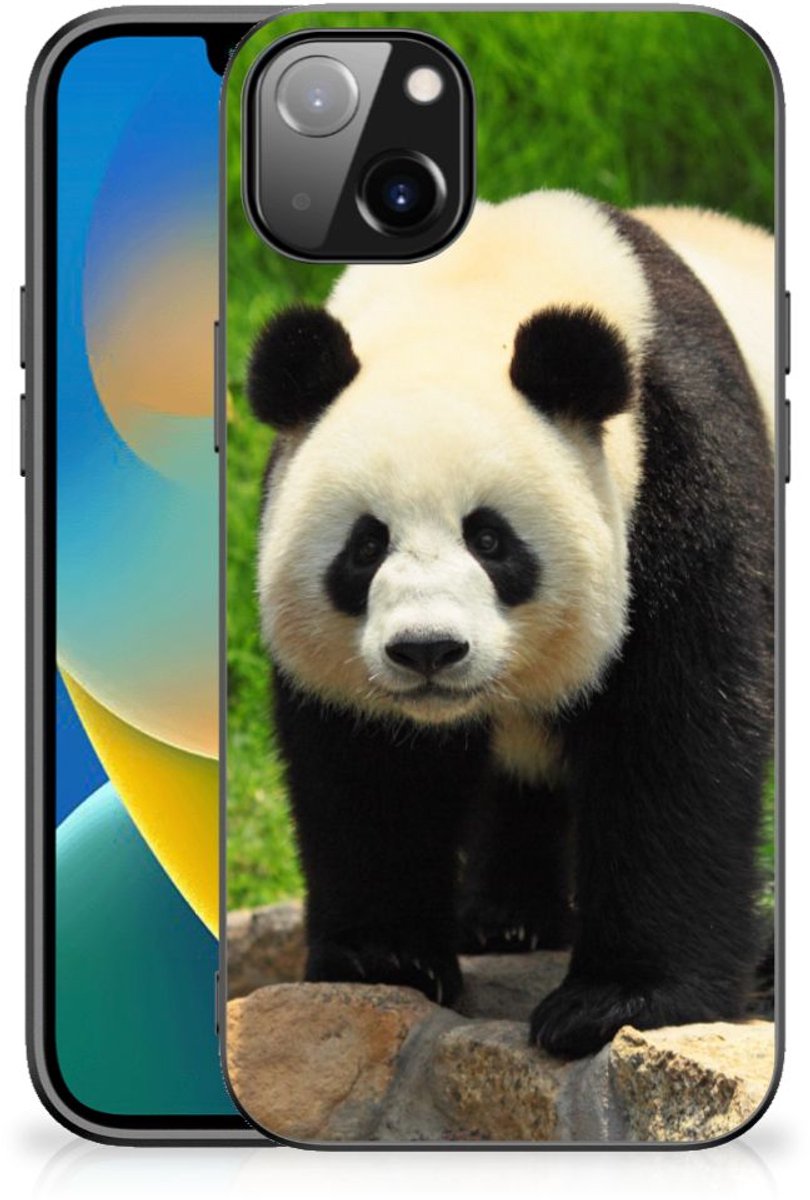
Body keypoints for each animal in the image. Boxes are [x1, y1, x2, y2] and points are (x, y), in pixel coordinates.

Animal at [244, 190, 774, 1058]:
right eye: (366, 545)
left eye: (490, 540)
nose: (427, 650)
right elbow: (370, 766)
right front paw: (384, 959)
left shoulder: (682, 472)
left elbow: (678, 733)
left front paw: (617, 1001)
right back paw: (507, 920)